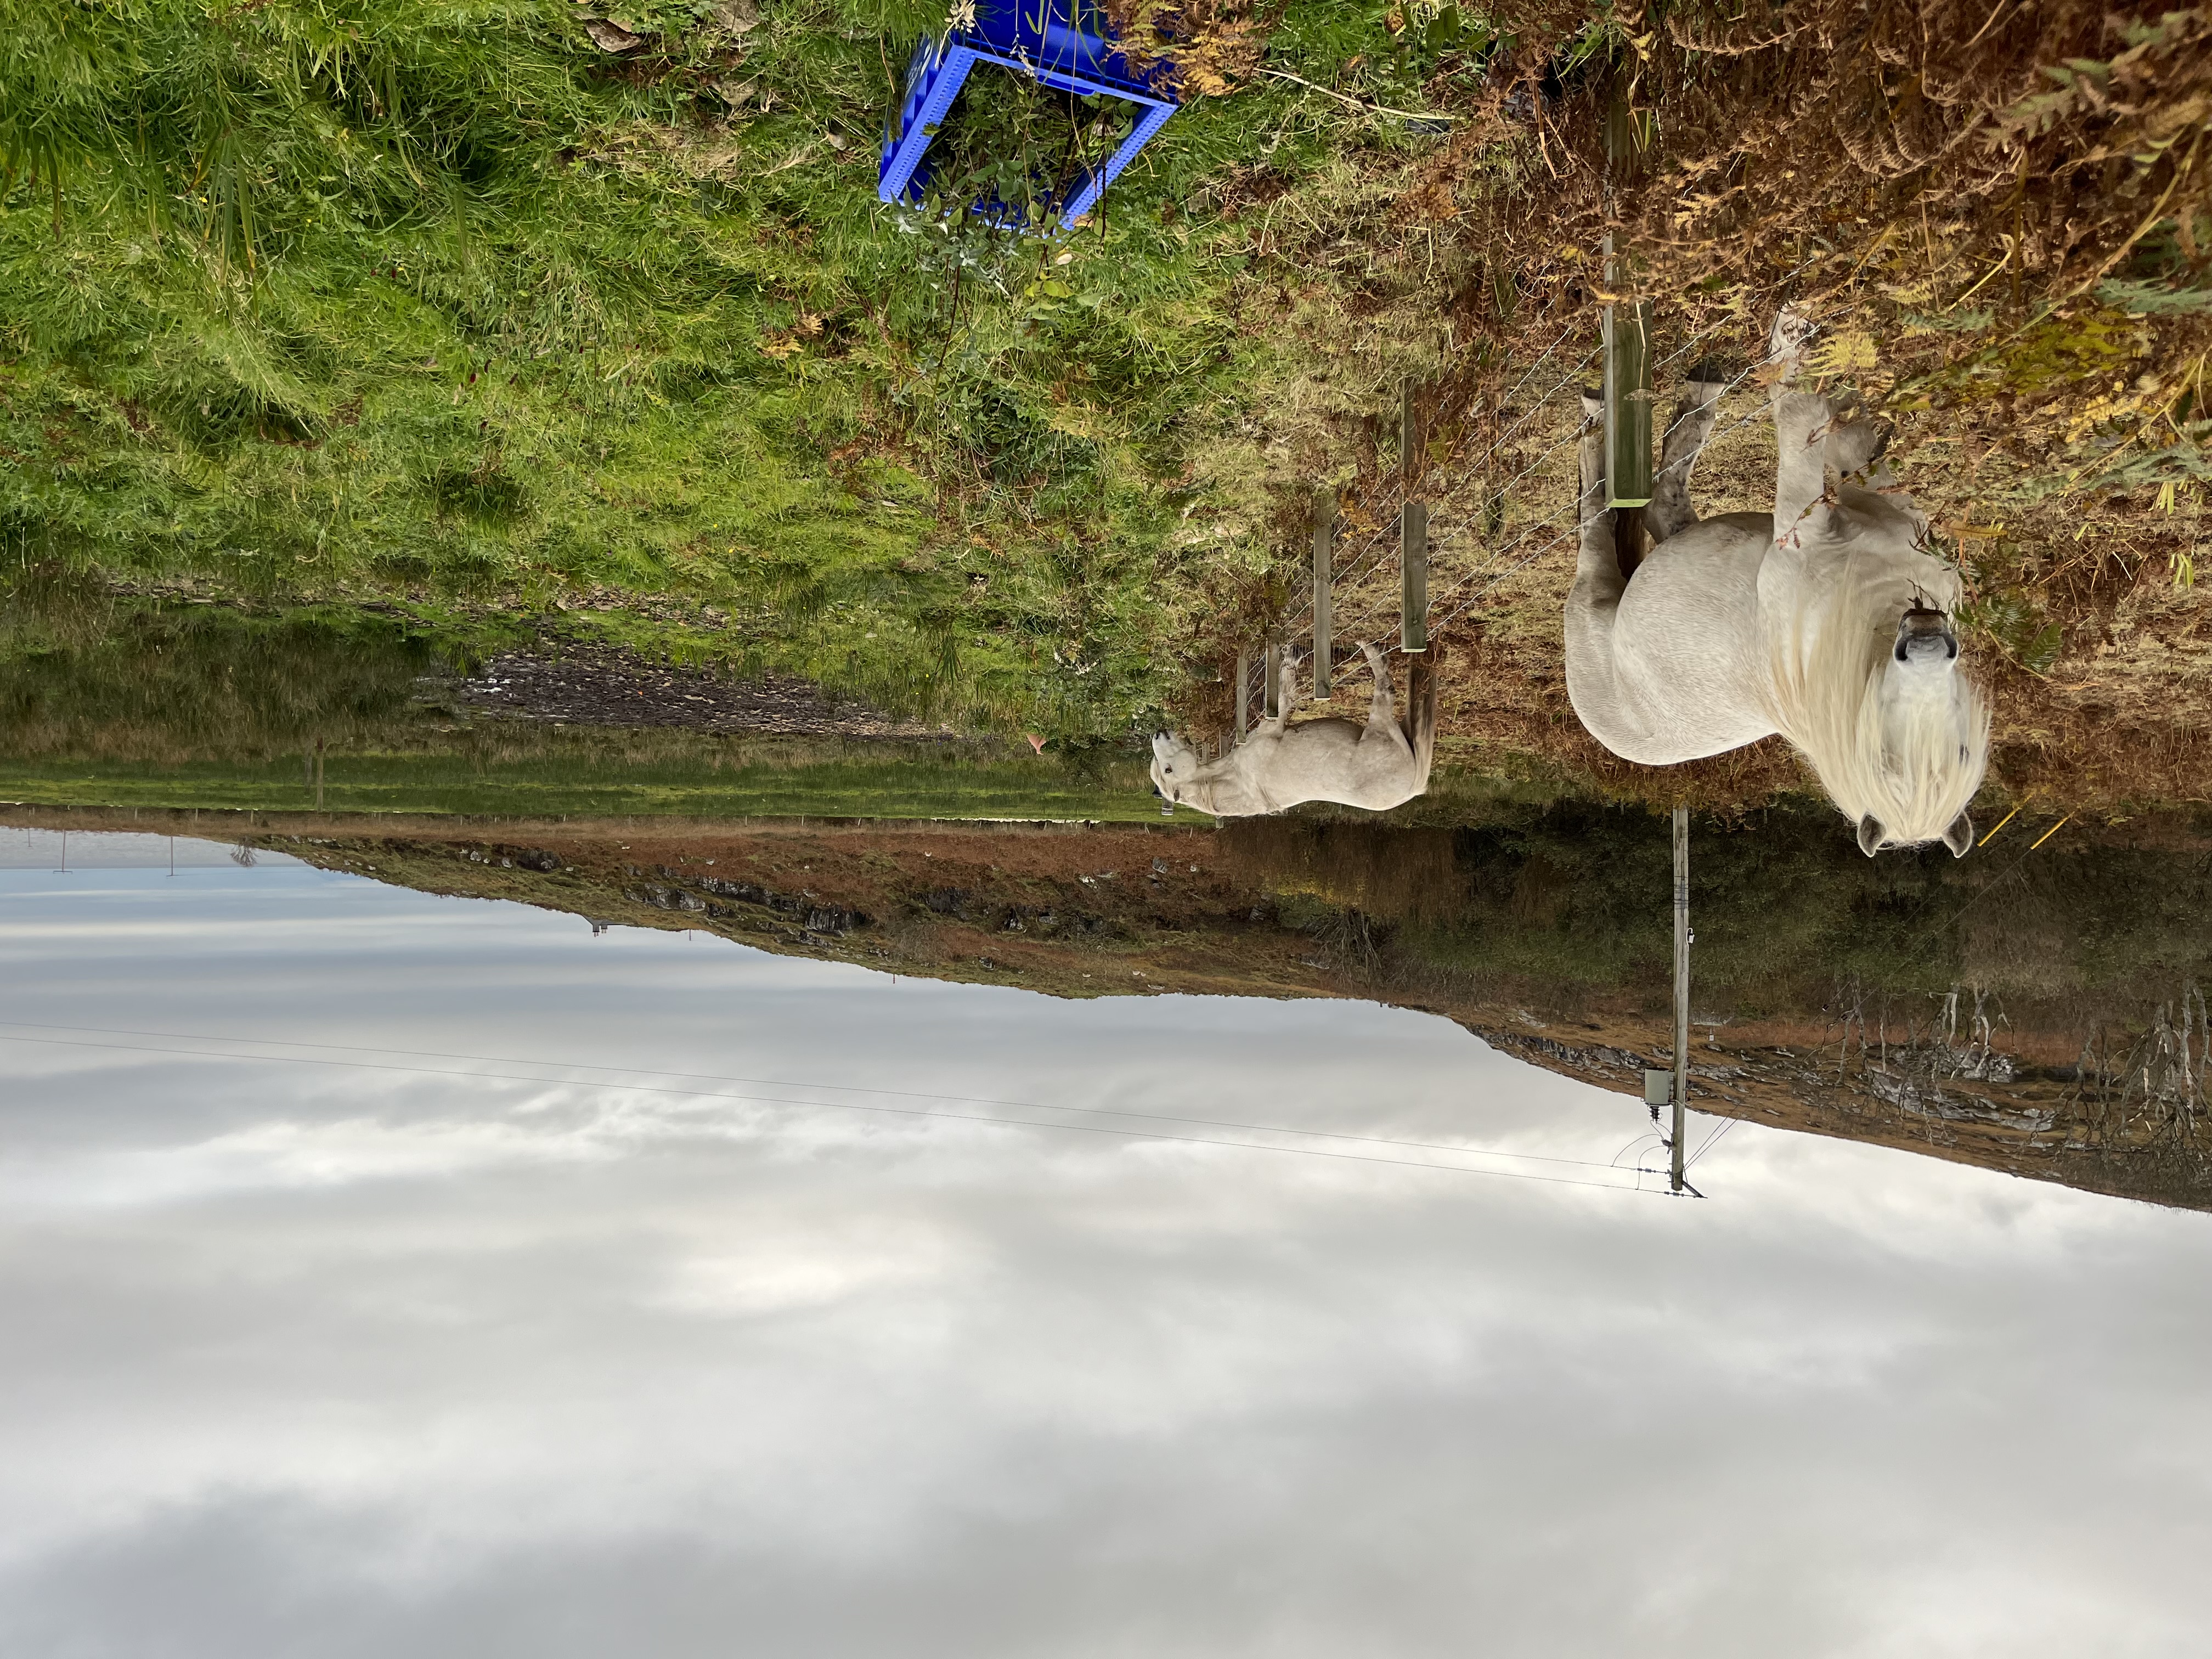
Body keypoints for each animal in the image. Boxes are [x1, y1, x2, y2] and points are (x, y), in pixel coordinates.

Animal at [1151, 642, 1439, 818]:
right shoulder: (1274, 725)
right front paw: (1291, 659)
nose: (1157, 734)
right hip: (1379, 723)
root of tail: (1413, 788)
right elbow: (1283, 695)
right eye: (1168, 770)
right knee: (1385, 689)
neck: (1235, 774)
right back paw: (1373, 654)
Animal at [1564, 309, 1989, 857]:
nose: (1926, 642)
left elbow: (1825, 436)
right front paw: (1804, 347)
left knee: (1635, 509)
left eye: (1960, 750)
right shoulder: (1840, 513)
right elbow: (1827, 435)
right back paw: (1641, 411)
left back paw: (1668, 409)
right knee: (1622, 509)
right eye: (1884, 755)